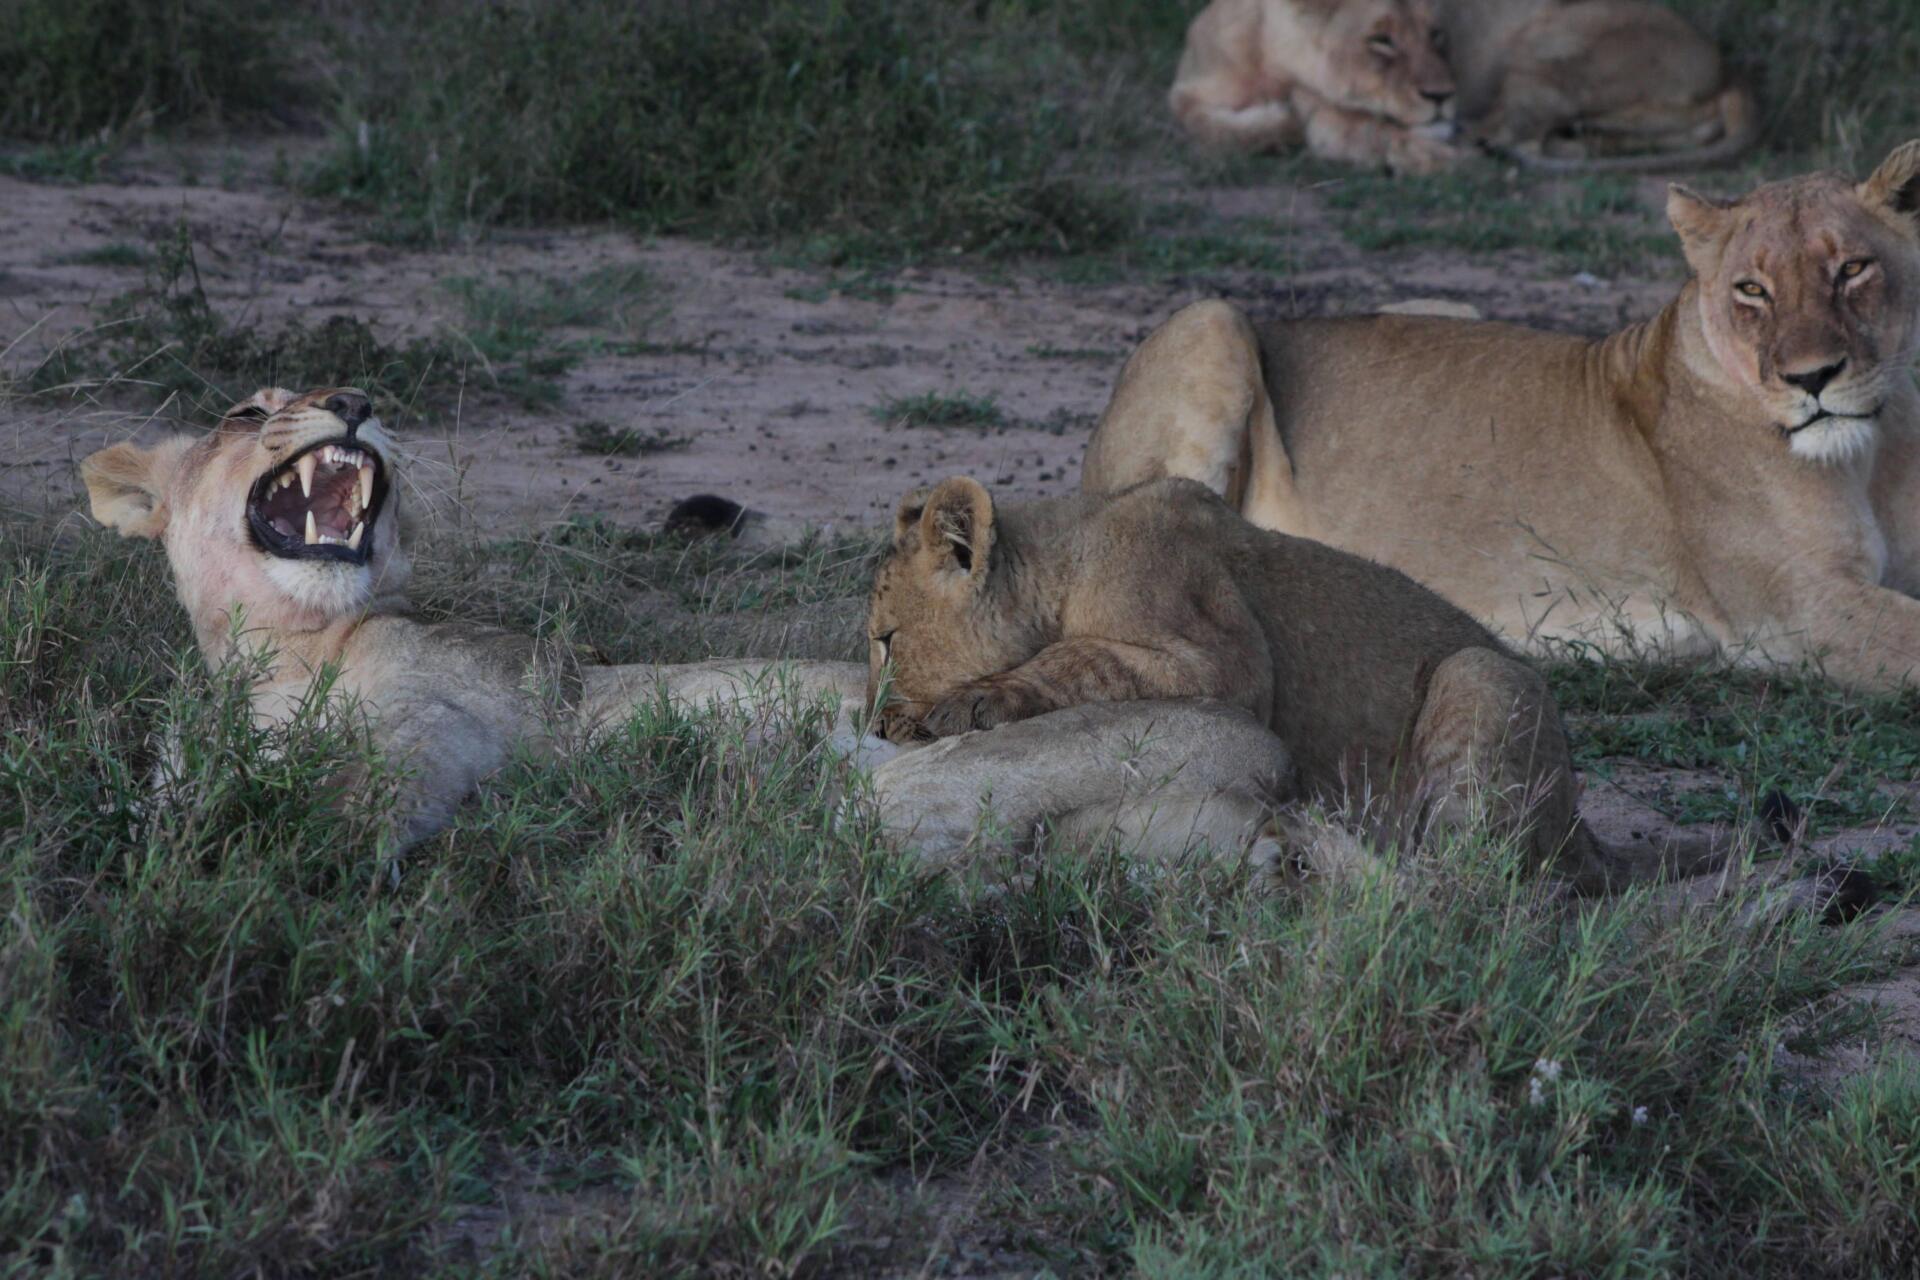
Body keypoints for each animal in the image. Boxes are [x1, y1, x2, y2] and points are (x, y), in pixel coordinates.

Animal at [78, 388, 1336, 876]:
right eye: (246, 410)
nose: (354, 401)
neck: (280, 654)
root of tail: (1277, 766)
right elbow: (171, 809)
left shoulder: (467, 713)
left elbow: (368, 793)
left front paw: (271, 860)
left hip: (913, 784)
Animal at [865, 472, 1737, 893]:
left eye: (885, 640)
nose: (875, 721)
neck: (1068, 556)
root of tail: (1582, 827)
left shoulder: (1221, 662)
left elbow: (1077, 660)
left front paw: (966, 706)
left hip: (1480, 676)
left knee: (1480, 886)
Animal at [1080, 144, 1920, 693]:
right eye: (1752, 290)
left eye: (1852, 269)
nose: (1812, 378)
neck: (1876, 451)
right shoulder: (1796, 610)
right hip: (1213, 318)